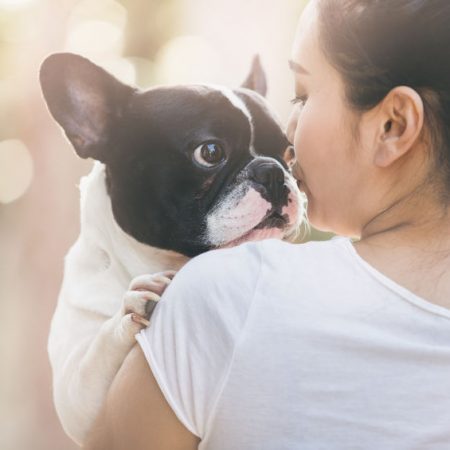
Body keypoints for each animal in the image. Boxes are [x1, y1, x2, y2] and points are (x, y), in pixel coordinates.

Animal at [40, 51, 304, 442]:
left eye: (290, 153)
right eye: (210, 152)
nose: (272, 171)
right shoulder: (79, 403)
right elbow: (95, 357)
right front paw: (131, 305)